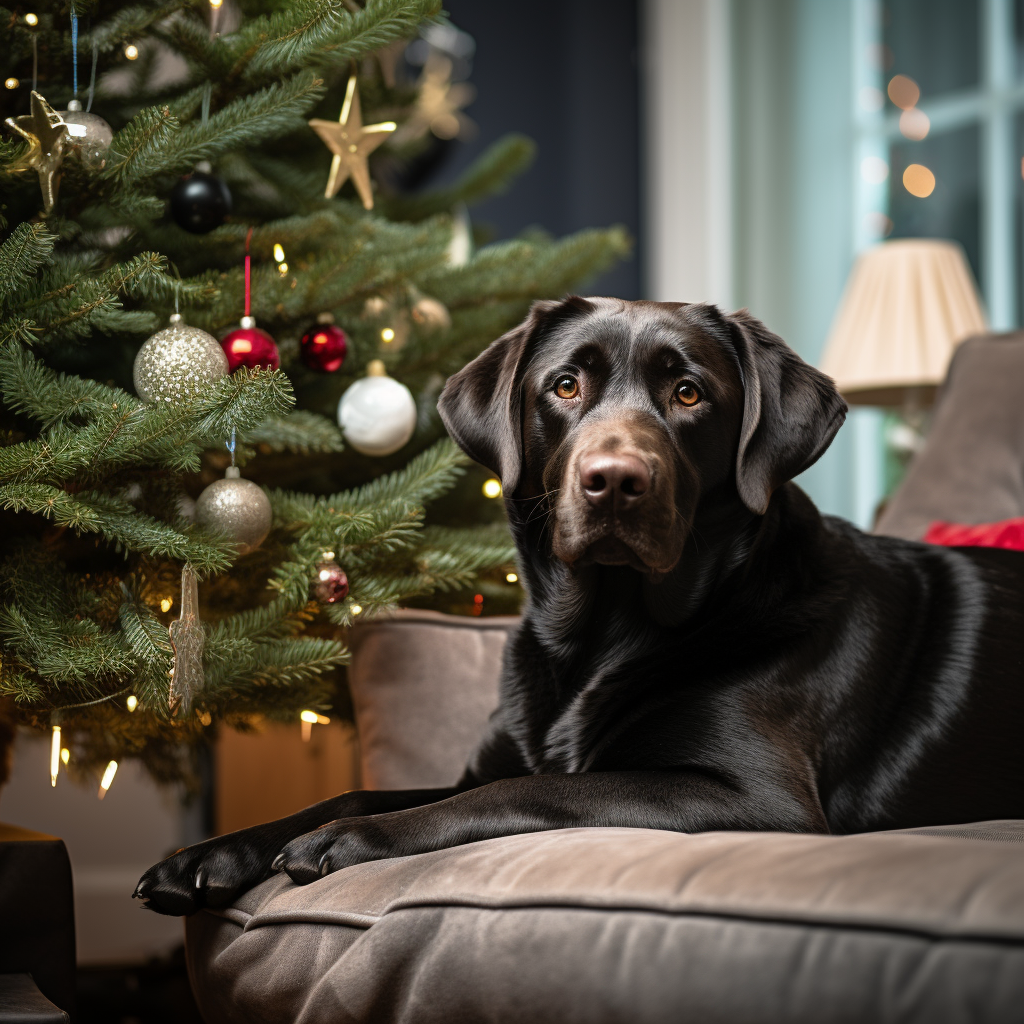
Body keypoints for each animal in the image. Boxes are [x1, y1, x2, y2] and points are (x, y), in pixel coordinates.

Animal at [136, 299, 1024, 921]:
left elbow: (521, 793)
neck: (598, 637)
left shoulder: (757, 801)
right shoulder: (485, 758)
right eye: (565, 385)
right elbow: (364, 791)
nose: (615, 481)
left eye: (689, 392)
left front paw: (352, 843)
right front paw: (213, 854)